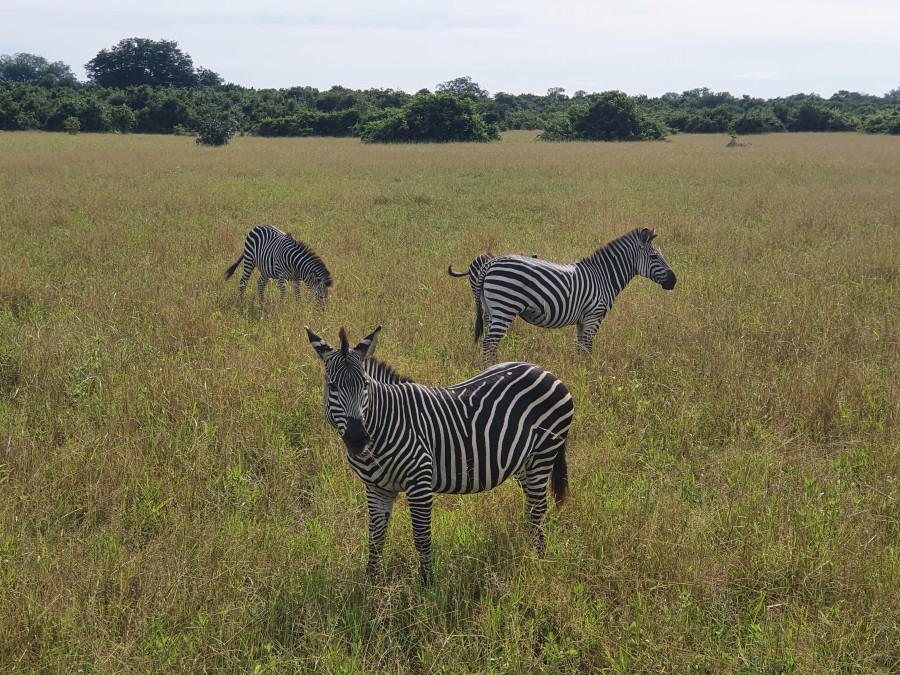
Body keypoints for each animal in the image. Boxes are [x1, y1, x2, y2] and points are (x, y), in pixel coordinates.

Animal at [306, 324, 572, 584]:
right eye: (332, 386)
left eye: (365, 385)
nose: (359, 439)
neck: (386, 424)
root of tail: (545, 370)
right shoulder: (376, 488)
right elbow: (375, 538)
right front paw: (371, 585)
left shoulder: (419, 482)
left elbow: (422, 537)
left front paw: (428, 586)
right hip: (524, 463)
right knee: (531, 509)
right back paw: (527, 552)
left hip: (543, 453)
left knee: (538, 510)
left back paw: (539, 562)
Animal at [472, 227, 676, 364]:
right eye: (654, 257)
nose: (674, 281)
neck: (603, 277)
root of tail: (491, 263)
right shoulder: (594, 317)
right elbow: (587, 348)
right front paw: (588, 374)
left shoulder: (582, 320)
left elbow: (580, 347)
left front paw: (579, 370)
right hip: (504, 307)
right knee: (489, 342)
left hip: (491, 310)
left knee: (490, 342)